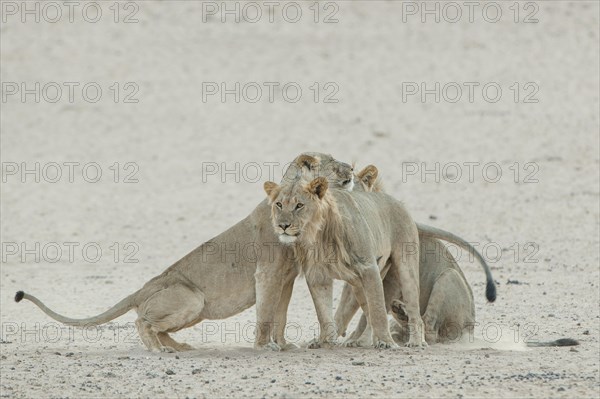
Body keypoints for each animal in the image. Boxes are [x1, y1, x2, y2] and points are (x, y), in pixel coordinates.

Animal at [14, 152, 356, 354]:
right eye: (333, 160)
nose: (352, 168)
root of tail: (142, 289)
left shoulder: (285, 279)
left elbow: (280, 317)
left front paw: (284, 345)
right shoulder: (267, 275)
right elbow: (264, 317)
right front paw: (262, 348)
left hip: (194, 308)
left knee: (157, 326)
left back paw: (178, 346)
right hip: (193, 298)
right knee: (142, 321)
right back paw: (158, 350)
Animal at [264, 173, 426, 348]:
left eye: (299, 205)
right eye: (279, 204)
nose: (282, 225)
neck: (317, 234)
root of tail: (398, 202)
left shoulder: (369, 267)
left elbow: (378, 311)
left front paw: (386, 342)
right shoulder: (318, 275)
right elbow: (323, 312)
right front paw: (326, 341)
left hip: (405, 268)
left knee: (413, 312)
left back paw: (416, 342)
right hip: (358, 285)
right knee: (367, 313)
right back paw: (362, 341)